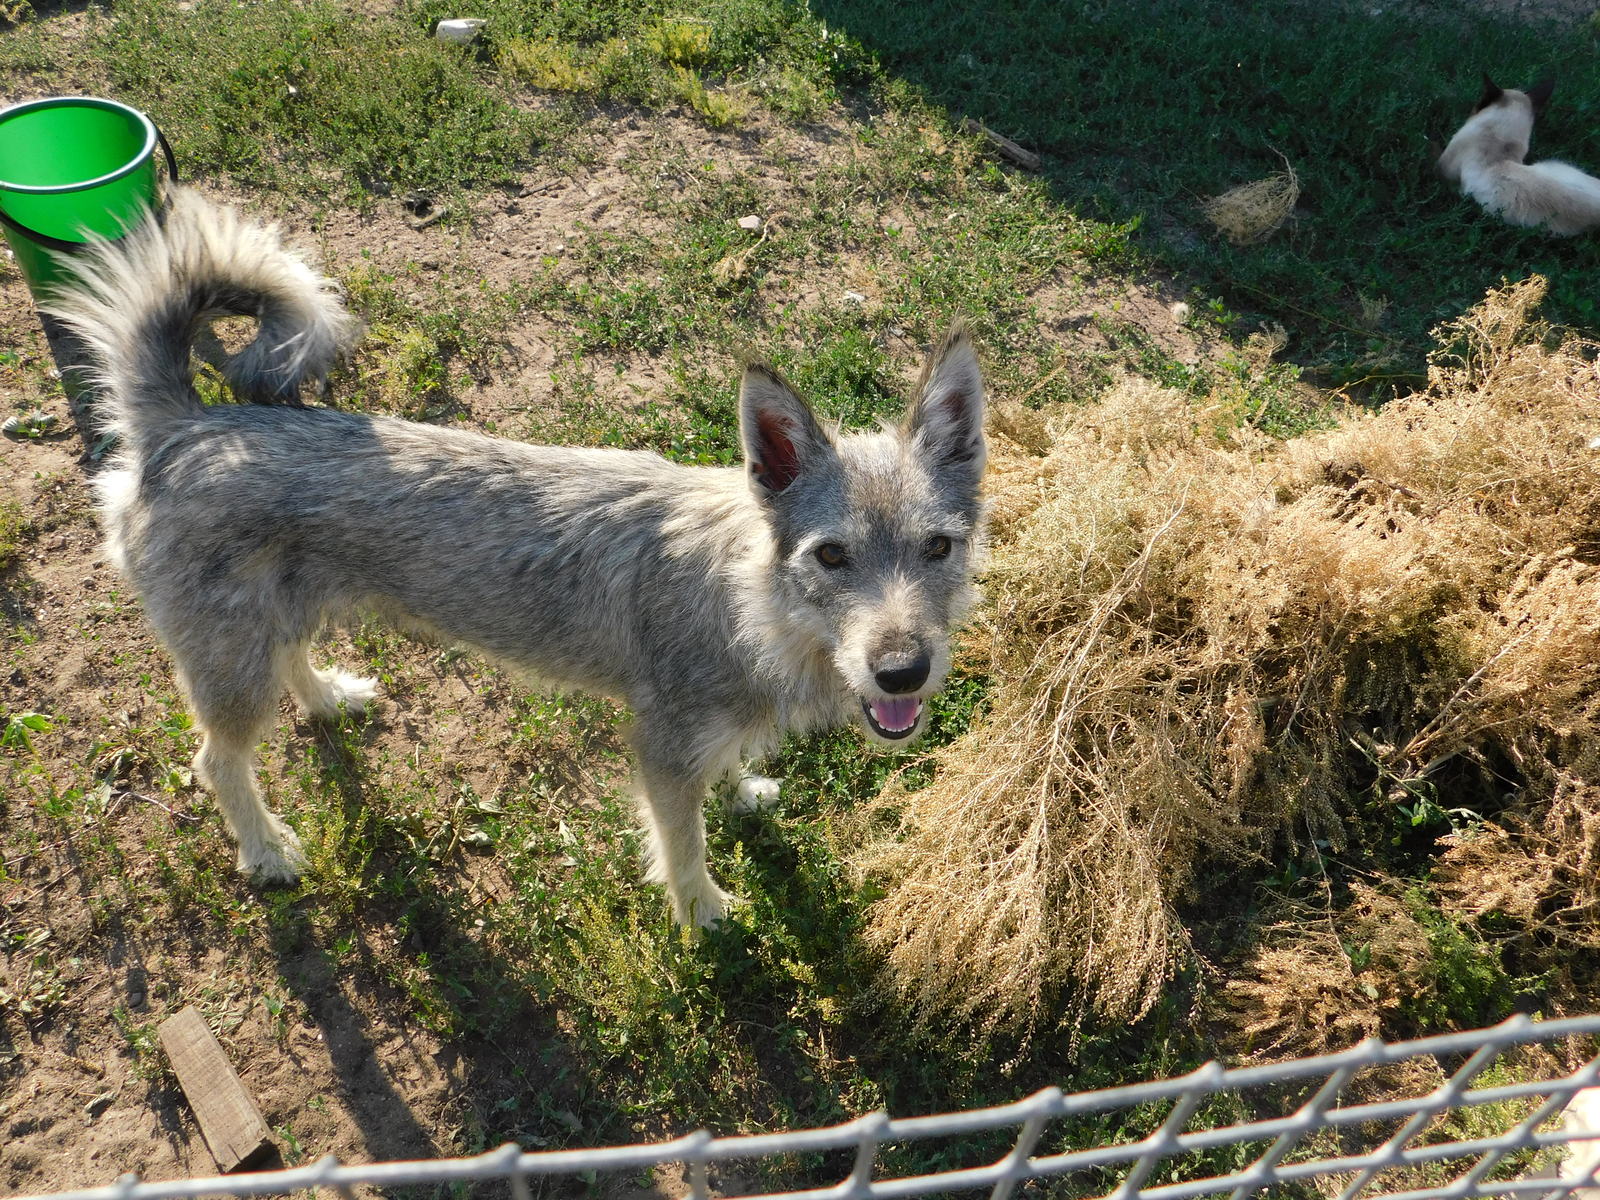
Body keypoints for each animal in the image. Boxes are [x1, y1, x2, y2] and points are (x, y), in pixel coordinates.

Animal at [46, 188, 985, 928]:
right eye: (832, 557)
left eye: (939, 547)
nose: (903, 672)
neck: (751, 602)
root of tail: (184, 424)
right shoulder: (662, 752)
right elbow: (681, 844)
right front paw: (704, 911)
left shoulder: (700, 738)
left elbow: (726, 777)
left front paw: (745, 794)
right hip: (231, 674)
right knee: (216, 761)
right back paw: (269, 850)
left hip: (273, 625)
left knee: (289, 667)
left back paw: (330, 698)